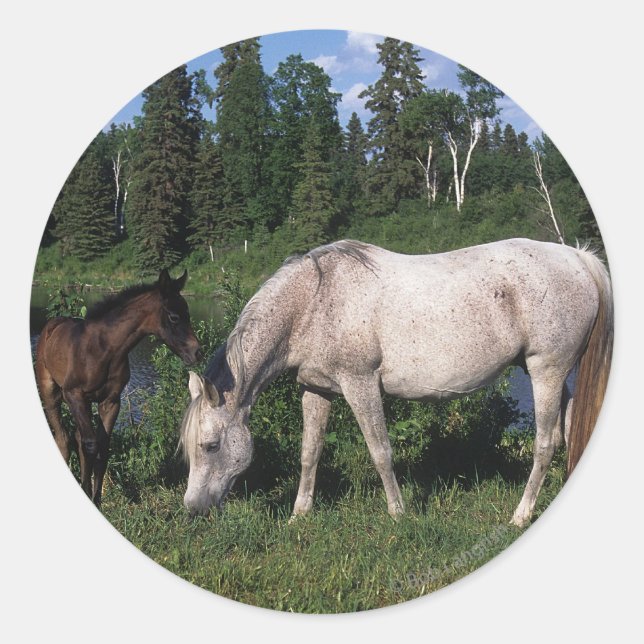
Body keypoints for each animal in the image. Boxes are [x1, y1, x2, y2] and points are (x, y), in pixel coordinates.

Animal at [35, 269, 201, 506]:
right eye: (174, 317)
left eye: (187, 312)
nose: (197, 352)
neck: (104, 349)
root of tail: (51, 326)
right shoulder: (75, 395)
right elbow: (90, 445)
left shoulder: (111, 401)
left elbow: (102, 447)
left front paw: (96, 501)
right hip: (51, 394)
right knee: (64, 438)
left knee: (76, 437)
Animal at [179, 239, 613, 528]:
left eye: (211, 445)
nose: (193, 508)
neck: (314, 301)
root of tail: (577, 257)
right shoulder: (317, 390)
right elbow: (310, 453)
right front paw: (299, 515)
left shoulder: (360, 384)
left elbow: (380, 452)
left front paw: (398, 513)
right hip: (554, 375)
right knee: (568, 430)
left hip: (547, 371)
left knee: (545, 443)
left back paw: (521, 514)